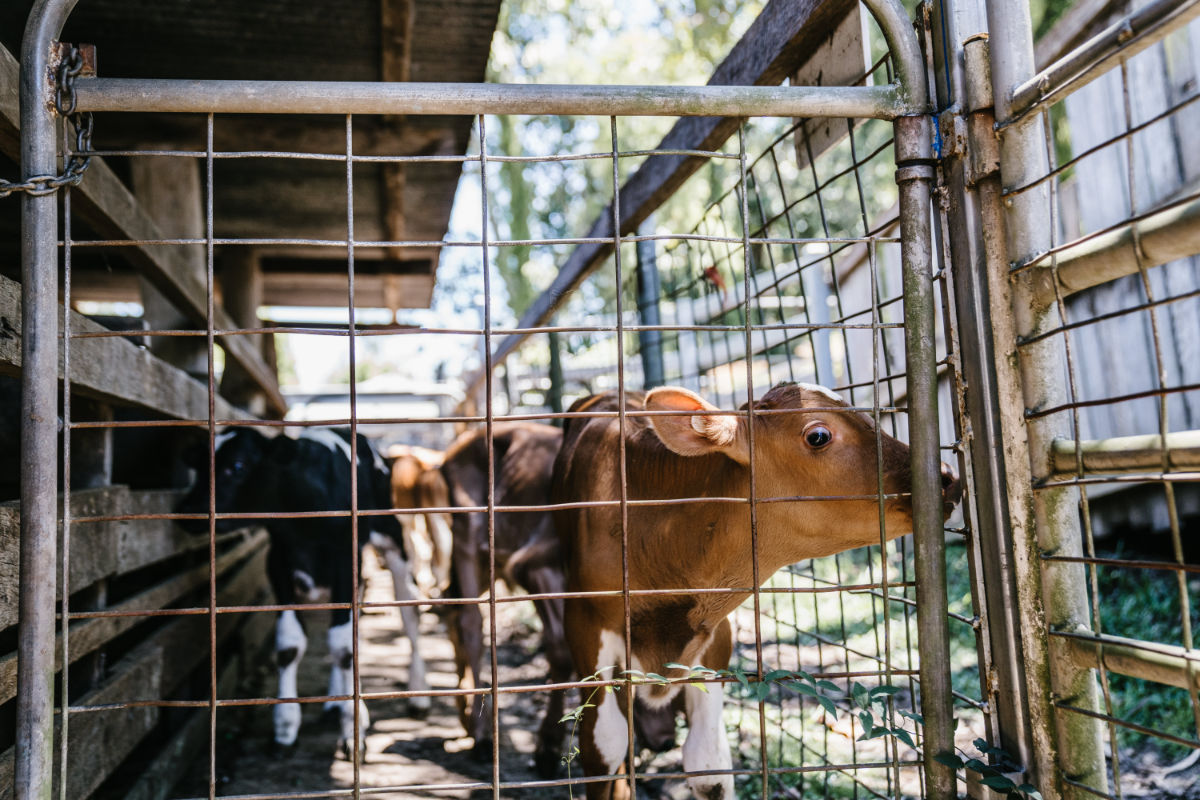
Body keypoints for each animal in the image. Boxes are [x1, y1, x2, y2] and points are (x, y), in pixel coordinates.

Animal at [177, 429, 432, 753]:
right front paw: (286, 724)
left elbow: (344, 646)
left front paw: (353, 728)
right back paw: (337, 699)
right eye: (198, 465)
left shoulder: (344, 560)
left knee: (409, 611)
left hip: (392, 535)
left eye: (237, 466)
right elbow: (291, 643)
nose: (185, 510)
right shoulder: (278, 562)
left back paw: (418, 692)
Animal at [554, 381, 964, 800]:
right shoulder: (584, 624)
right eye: (818, 435)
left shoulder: (716, 634)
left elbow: (709, 764)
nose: (948, 476)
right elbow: (604, 748)